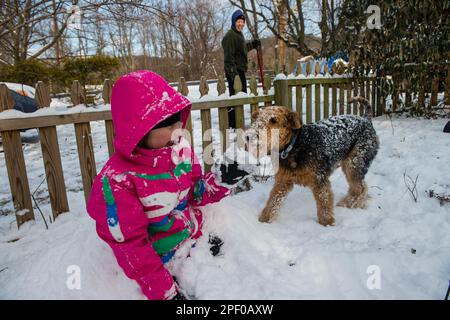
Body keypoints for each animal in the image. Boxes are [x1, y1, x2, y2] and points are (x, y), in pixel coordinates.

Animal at [246, 97, 380, 225]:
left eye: (274, 120)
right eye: (257, 118)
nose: (248, 136)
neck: (294, 146)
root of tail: (366, 119)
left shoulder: (319, 181)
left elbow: (324, 205)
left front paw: (327, 224)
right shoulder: (283, 181)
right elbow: (273, 201)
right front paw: (263, 220)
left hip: (353, 163)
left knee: (360, 188)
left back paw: (348, 204)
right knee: (360, 187)